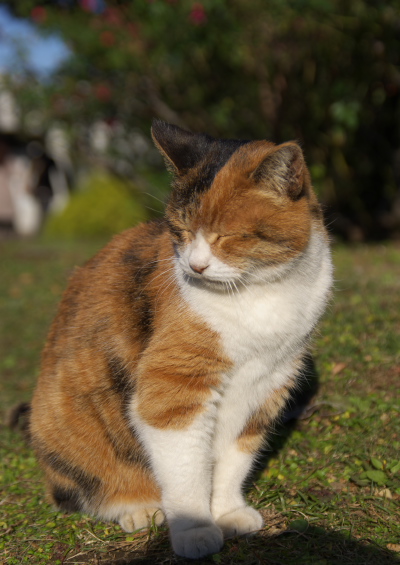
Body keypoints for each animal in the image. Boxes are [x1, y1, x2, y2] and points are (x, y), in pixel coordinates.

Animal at [29, 120, 332, 560]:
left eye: (225, 235)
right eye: (181, 231)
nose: (195, 266)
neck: (258, 293)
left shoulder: (268, 384)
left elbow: (235, 458)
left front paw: (227, 512)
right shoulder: (174, 386)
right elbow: (187, 467)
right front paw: (195, 528)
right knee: (80, 491)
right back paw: (139, 509)